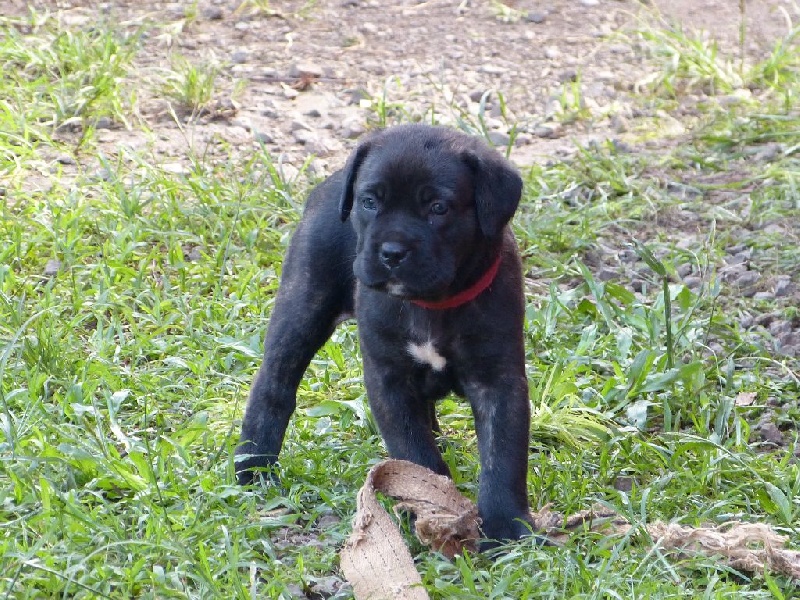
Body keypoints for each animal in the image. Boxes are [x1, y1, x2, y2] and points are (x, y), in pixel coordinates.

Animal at [237, 124, 533, 544]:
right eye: (369, 202)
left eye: (438, 208)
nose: (392, 252)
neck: (432, 303)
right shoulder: (389, 380)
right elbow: (414, 452)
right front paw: (429, 502)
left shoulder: (499, 382)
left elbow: (503, 455)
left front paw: (507, 527)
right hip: (303, 304)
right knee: (274, 384)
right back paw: (254, 466)